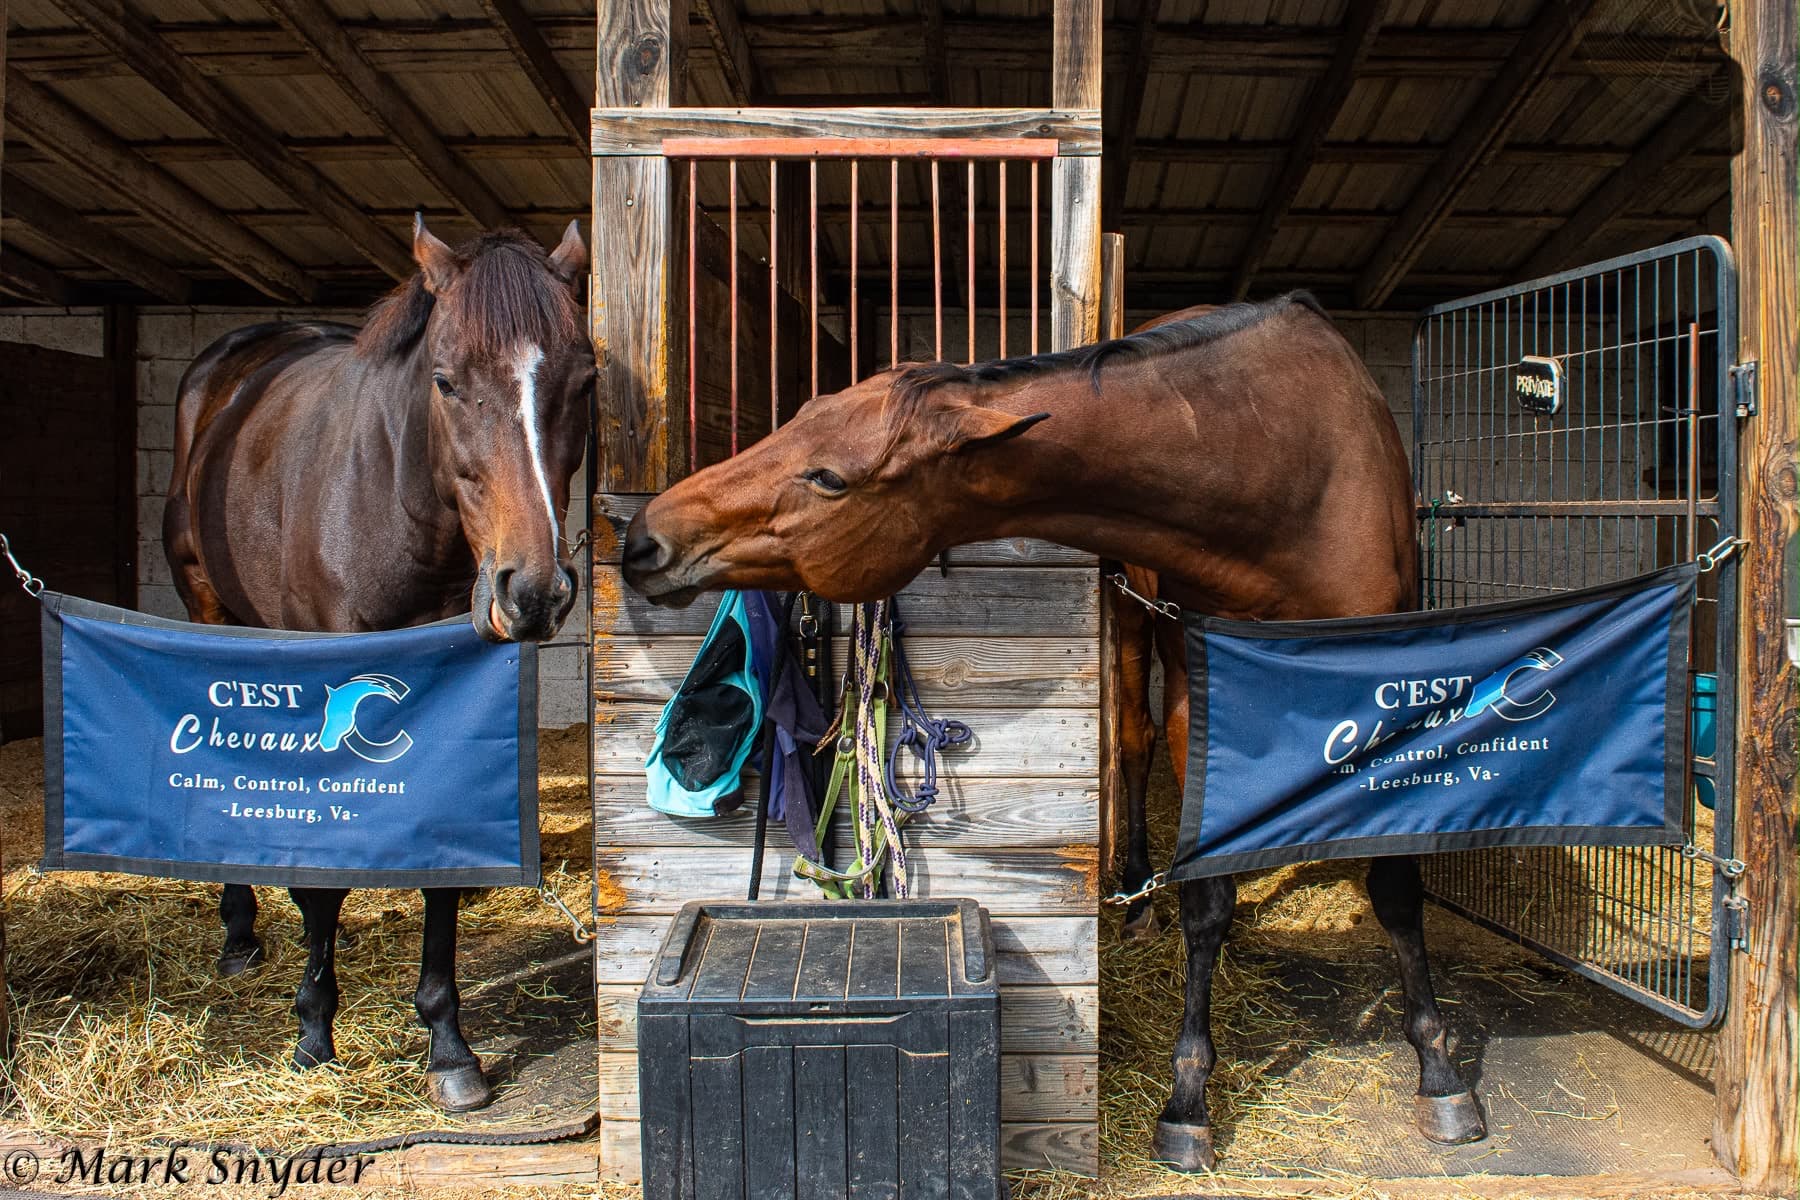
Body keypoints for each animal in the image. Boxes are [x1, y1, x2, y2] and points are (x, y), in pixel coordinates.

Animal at [162, 217, 591, 1112]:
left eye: (585, 381)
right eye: (446, 381)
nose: (534, 590)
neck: (392, 508)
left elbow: (438, 866)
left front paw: (449, 1047)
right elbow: (324, 870)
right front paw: (313, 1032)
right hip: (211, 609)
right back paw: (241, 931)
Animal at [617, 292, 1488, 1169]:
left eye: (829, 475)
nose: (643, 539)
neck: (1280, 473)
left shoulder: (1392, 690)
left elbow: (1395, 888)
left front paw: (1440, 1072)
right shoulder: (1198, 694)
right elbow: (1207, 898)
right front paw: (1188, 1100)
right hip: (1134, 622)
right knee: (1133, 742)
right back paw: (1137, 898)